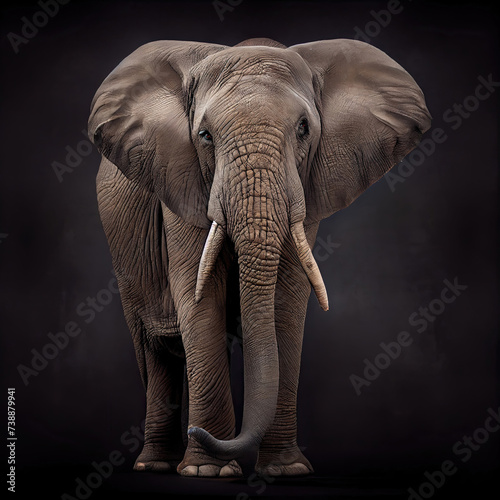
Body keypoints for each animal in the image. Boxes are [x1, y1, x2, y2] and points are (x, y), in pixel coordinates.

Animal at [87, 36, 430, 476]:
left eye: (303, 129)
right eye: (204, 135)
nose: (198, 433)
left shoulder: (306, 188)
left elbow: (287, 301)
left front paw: (286, 470)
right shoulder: (180, 180)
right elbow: (199, 298)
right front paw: (207, 472)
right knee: (156, 349)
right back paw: (155, 464)